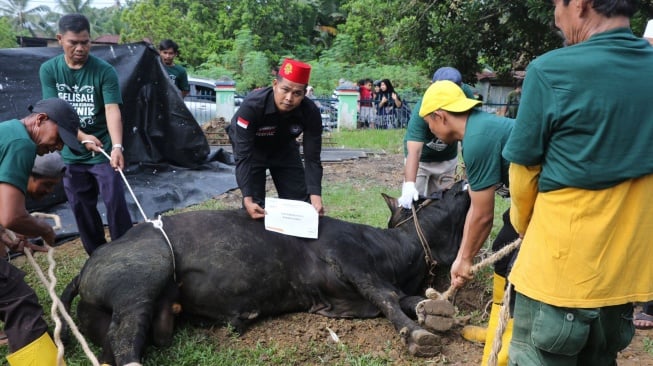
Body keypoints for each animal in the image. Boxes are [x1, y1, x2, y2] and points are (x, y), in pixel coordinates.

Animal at [59, 181, 468, 366]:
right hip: (141, 279)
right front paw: (418, 335)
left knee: (114, 345)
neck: (393, 251)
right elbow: (387, 298)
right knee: (125, 338)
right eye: (444, 192)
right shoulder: (352, 263)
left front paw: (436, 312)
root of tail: (88, 264)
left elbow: (408, 299)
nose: (464, 184)